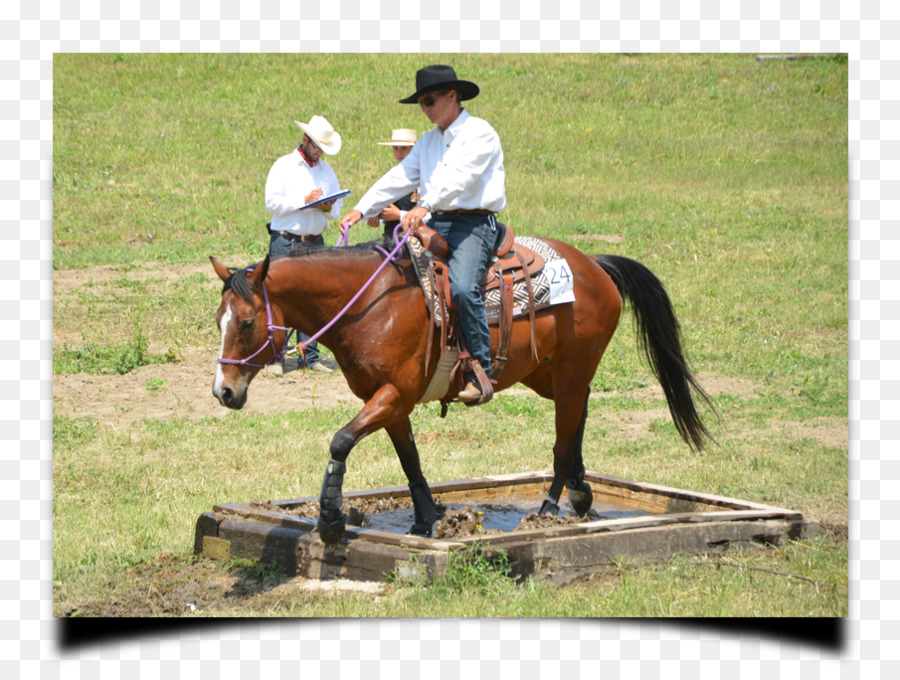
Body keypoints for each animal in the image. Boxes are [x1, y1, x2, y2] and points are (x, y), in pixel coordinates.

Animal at [211, 236, 716, 544]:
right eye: (219, 320)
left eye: (248, 323)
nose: (224, 392)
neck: (372, 304)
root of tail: (595, 265)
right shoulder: (390, 401)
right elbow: (410, 460)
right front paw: (425, 520)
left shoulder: (393, 393)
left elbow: (340, 440)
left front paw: (332, 518)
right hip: (549, 374)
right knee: (580, 416)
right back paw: (581, 491)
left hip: (571, 371)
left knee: (563, 438)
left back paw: (550, 507)